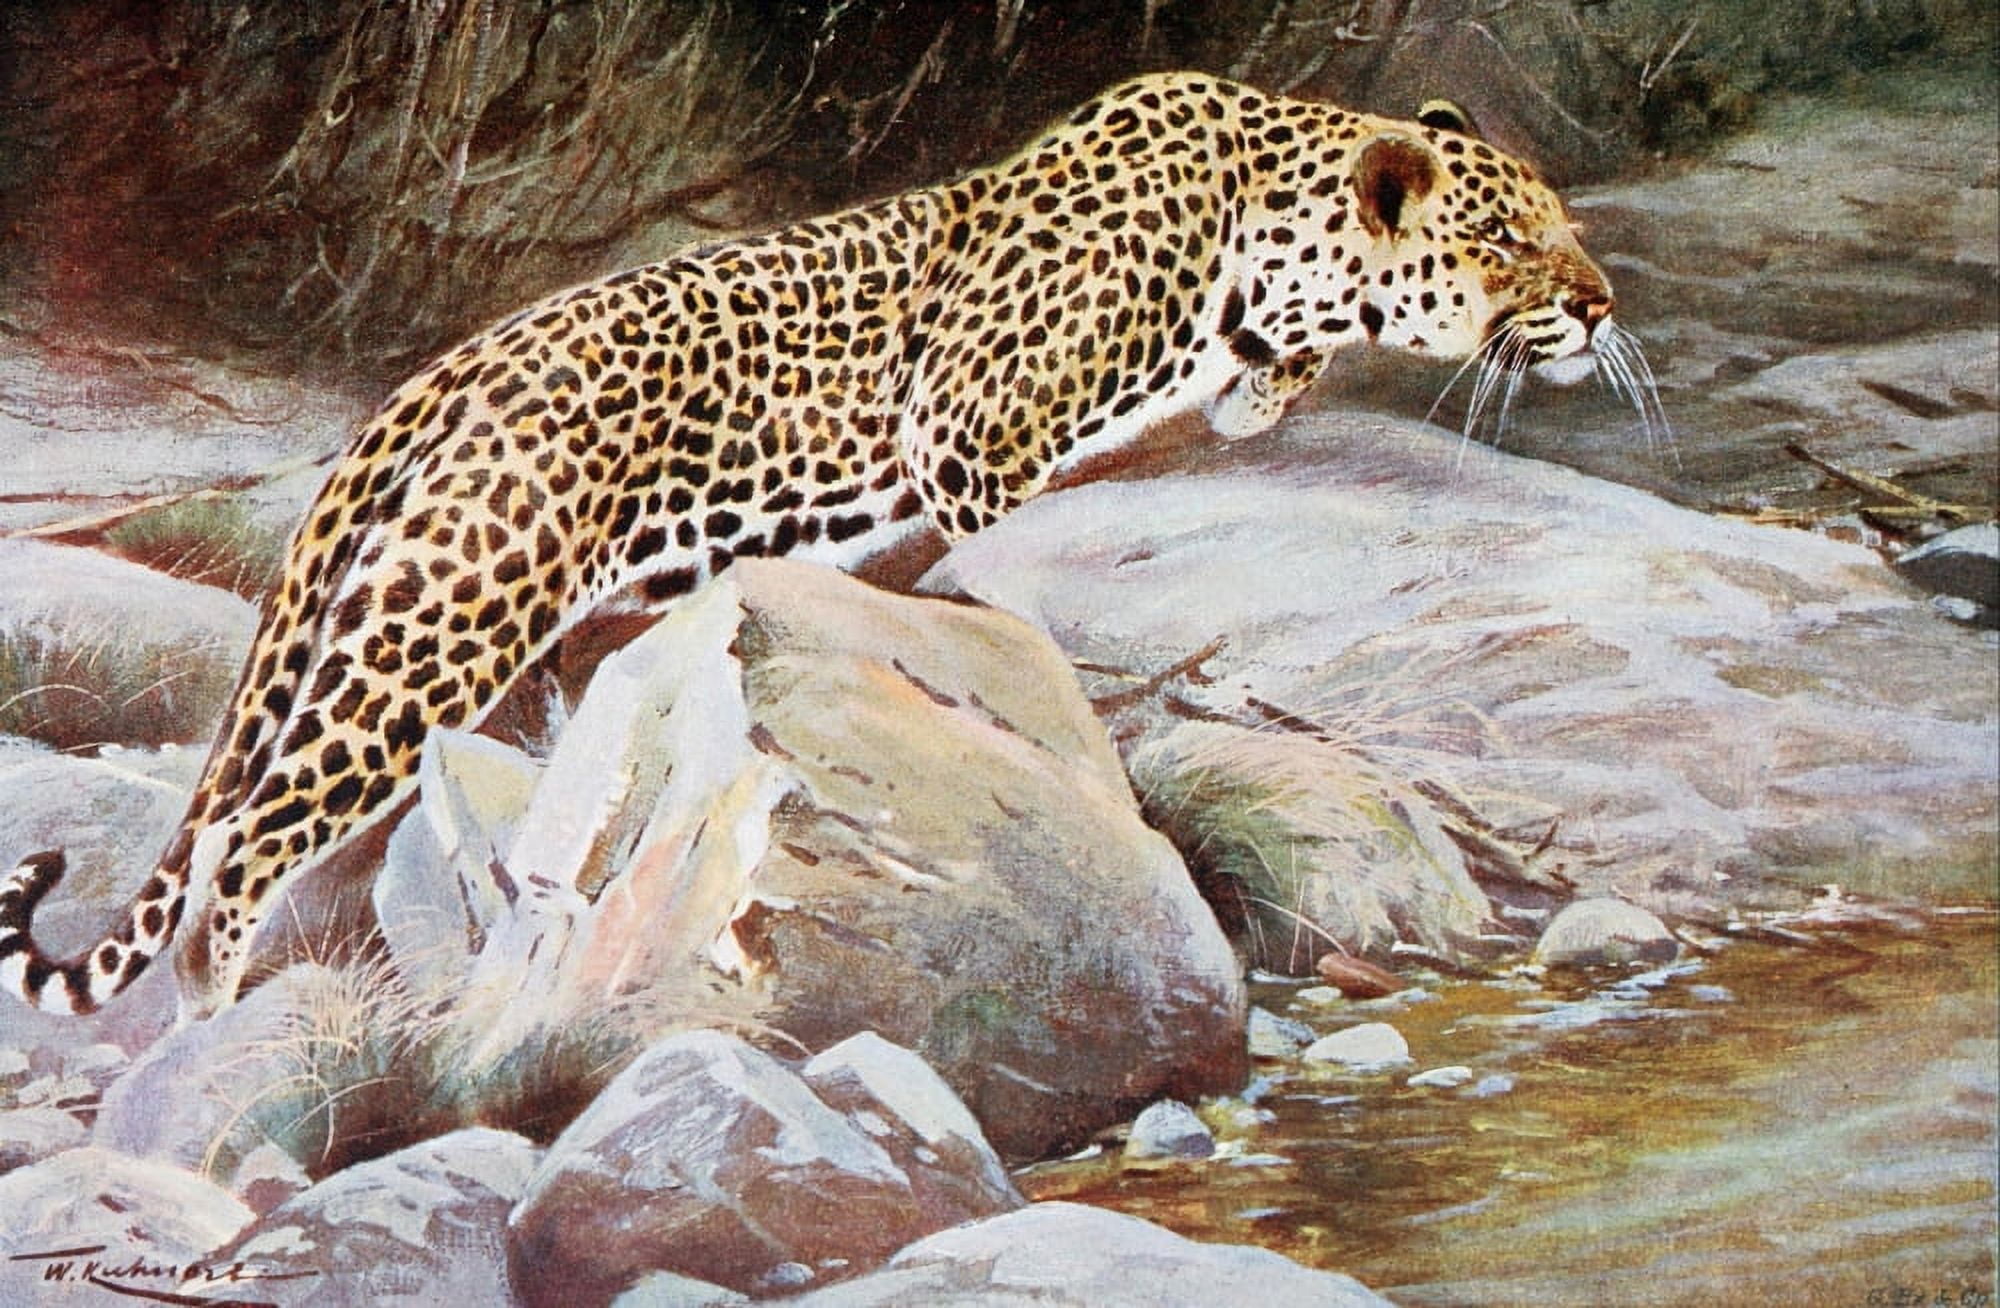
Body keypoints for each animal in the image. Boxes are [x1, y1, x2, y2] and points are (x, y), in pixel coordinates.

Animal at [3, 71, 1644, 1020]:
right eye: (1511, 240)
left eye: (1568, 222)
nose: (1604, 299)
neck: (1269, 236)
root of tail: (445, 373)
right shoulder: (970, 429)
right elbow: (993, 545)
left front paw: (1265, 392)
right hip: (436, 622)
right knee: (244, 837)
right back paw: (209, 1017)